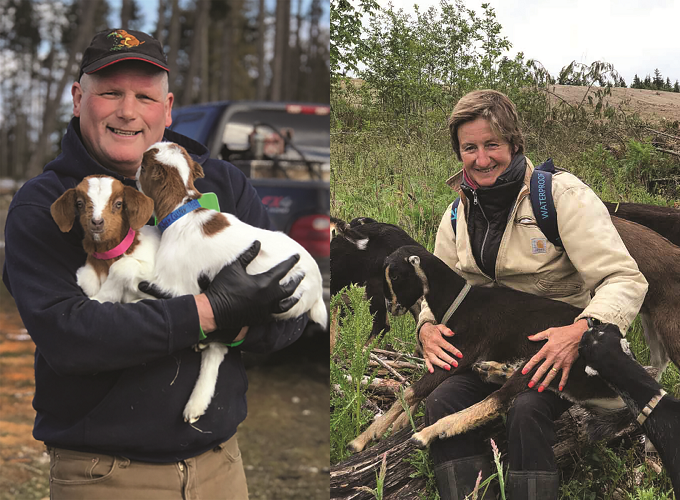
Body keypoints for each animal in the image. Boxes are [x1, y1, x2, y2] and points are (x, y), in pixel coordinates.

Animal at [50, 175, 159, 303]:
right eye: (79, 203)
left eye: (119, 203)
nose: (97, 222)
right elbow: (87, 282)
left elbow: (120, 267)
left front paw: (100, 297)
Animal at [348, 244, 627, 452]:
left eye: (396, 275)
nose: (391, 306)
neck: (461, 304)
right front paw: (397, 424)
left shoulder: (459, 354)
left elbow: (409, 391)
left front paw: (362, 439)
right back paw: (494, 370)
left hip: (546, 357)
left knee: (499, 400)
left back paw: (432, 431)